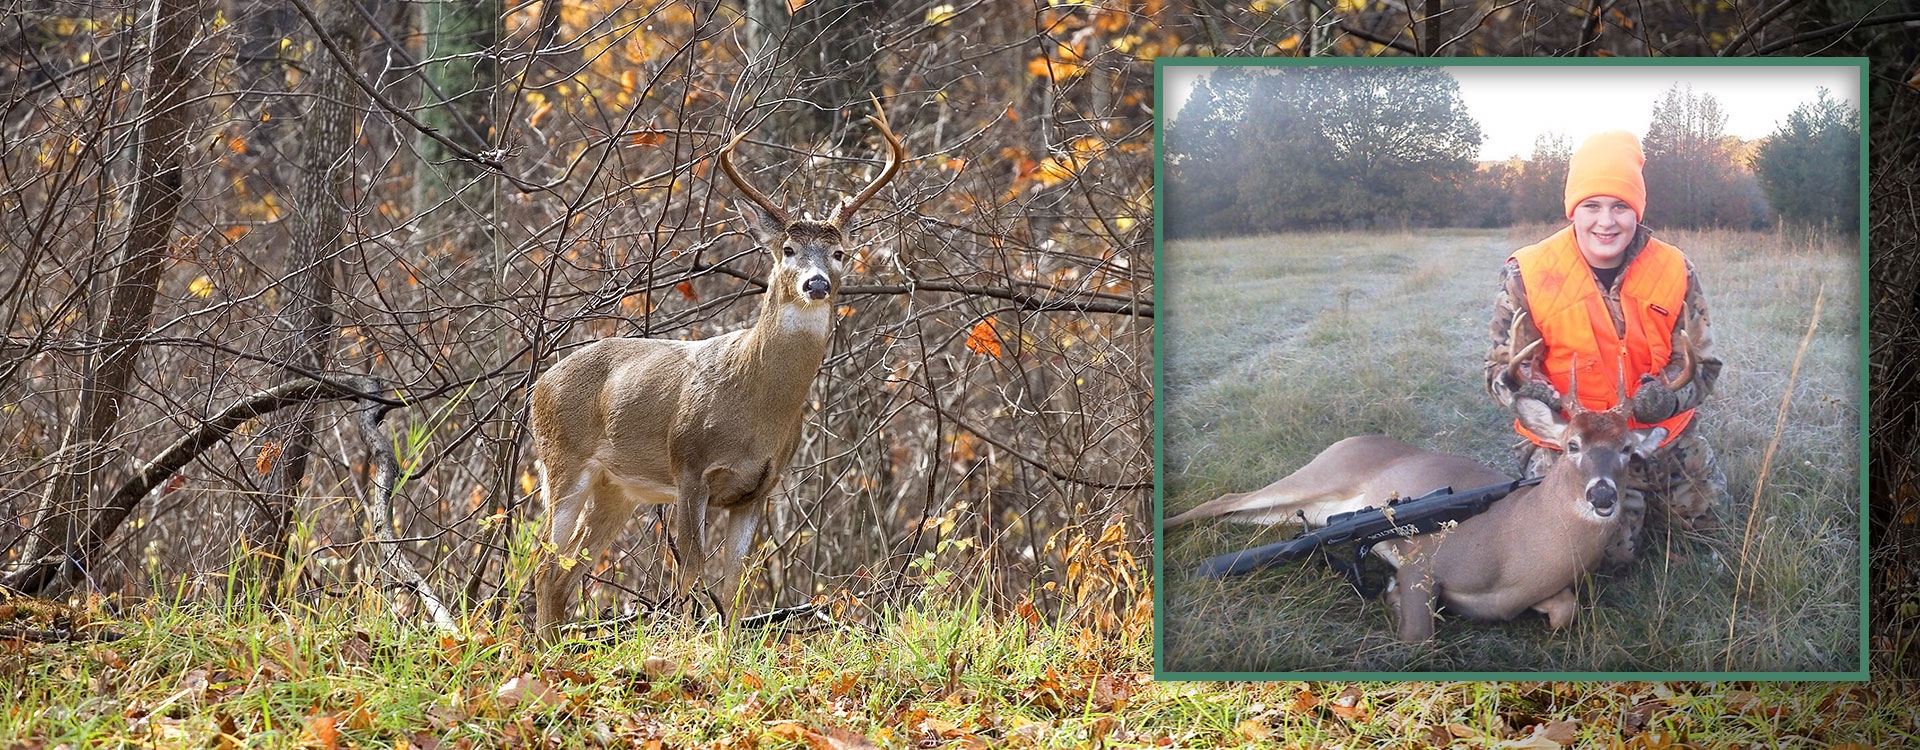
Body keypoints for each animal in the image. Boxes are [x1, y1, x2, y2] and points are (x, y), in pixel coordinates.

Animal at [528, 106, 905, 642]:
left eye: (839, 253)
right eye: (787, 249)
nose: (816, 285)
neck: (754, 406)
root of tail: (538, 384)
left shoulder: (759, 487)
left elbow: (733, 581)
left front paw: (728, 650)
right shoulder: (690, 467)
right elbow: (689, 570)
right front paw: (684, 646)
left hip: (617, 490)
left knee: (565, 572)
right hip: (562, 460)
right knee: (543, 565)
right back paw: (538, 652)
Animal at [1167, 335, 1693, 642]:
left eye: (1627, 449)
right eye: (1572, 445)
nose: (1602, 496)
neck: (1516, 547)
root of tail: (1351, 438)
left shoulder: (1542, 594)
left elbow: (1566, 611)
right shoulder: (1425, 559)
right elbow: (1417, 639)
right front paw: (1394, 598)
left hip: (1307, 508)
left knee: (1248, 517)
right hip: (1322, 473)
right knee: (1225, 499)